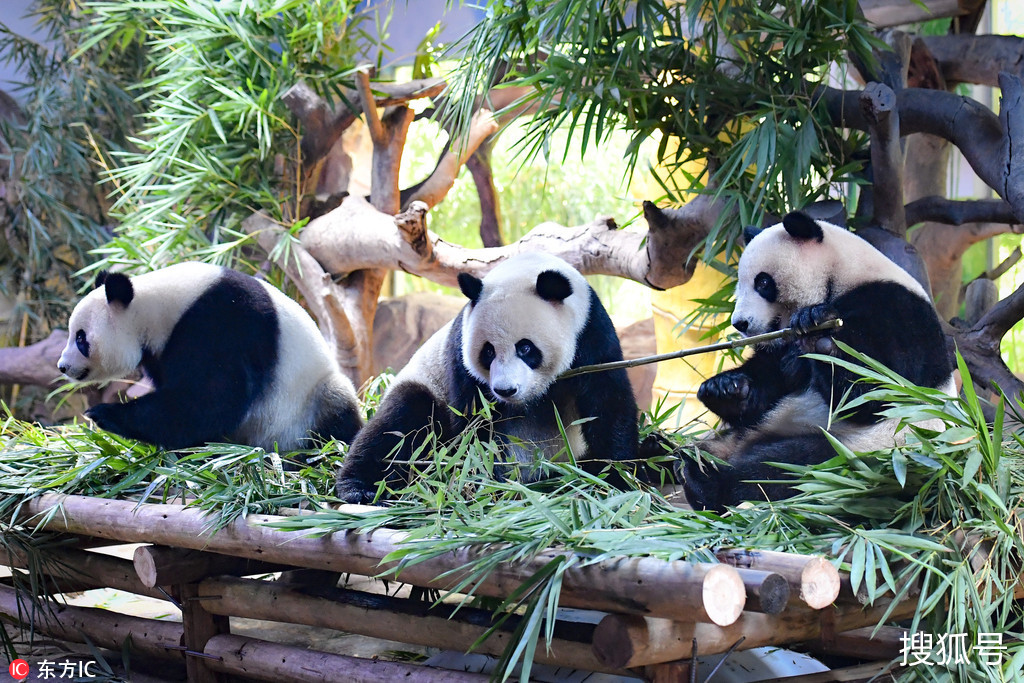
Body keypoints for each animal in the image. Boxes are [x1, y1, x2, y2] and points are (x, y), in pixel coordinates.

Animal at [58, 262, 364, 454]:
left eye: (81, 338)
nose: (63, 366)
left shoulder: (219, 323)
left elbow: (210, 399)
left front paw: (104, 413)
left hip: (310, 400)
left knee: (336, 406)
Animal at [335, 250, 638, 501]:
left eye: (525, 347)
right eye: (488, 351)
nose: (505, 390)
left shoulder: (591, 334)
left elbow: (608, 404)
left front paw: (615, 476)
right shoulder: (462, 357)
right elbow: (476, 425)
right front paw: (488, 480)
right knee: (399, 422)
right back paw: (358, 488)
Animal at [684, 211, 954, 511]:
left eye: (763, 282)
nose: (740, 323)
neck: (843, 275)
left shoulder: (896, 309)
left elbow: (878, 389)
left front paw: (818, 331)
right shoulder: (782, 346)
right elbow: (770, 383)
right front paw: (726, 388)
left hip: (875, 451)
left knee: (793, 468)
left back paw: (709, 481)